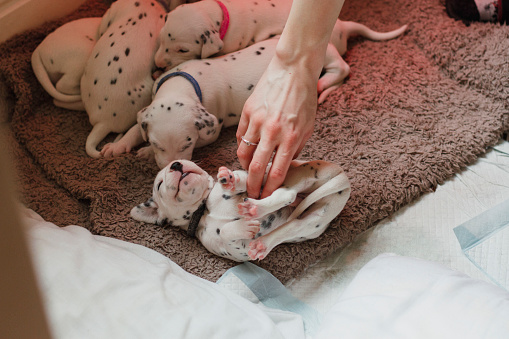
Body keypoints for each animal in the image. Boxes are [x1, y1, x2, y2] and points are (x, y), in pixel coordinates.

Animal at [131, 161, 352, 262]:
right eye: (160, 184)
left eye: (182, 159)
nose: (176, 164)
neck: (205, 210)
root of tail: (342, 174)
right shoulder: (237, 252)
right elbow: (227, 232)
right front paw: (244, 226)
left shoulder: (250, 179)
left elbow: (241, 179)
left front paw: (229, 180)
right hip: (314, 220)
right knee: (292, 219)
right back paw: (260, 236)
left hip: (293, 175)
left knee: (287, 192)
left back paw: (255, 206)